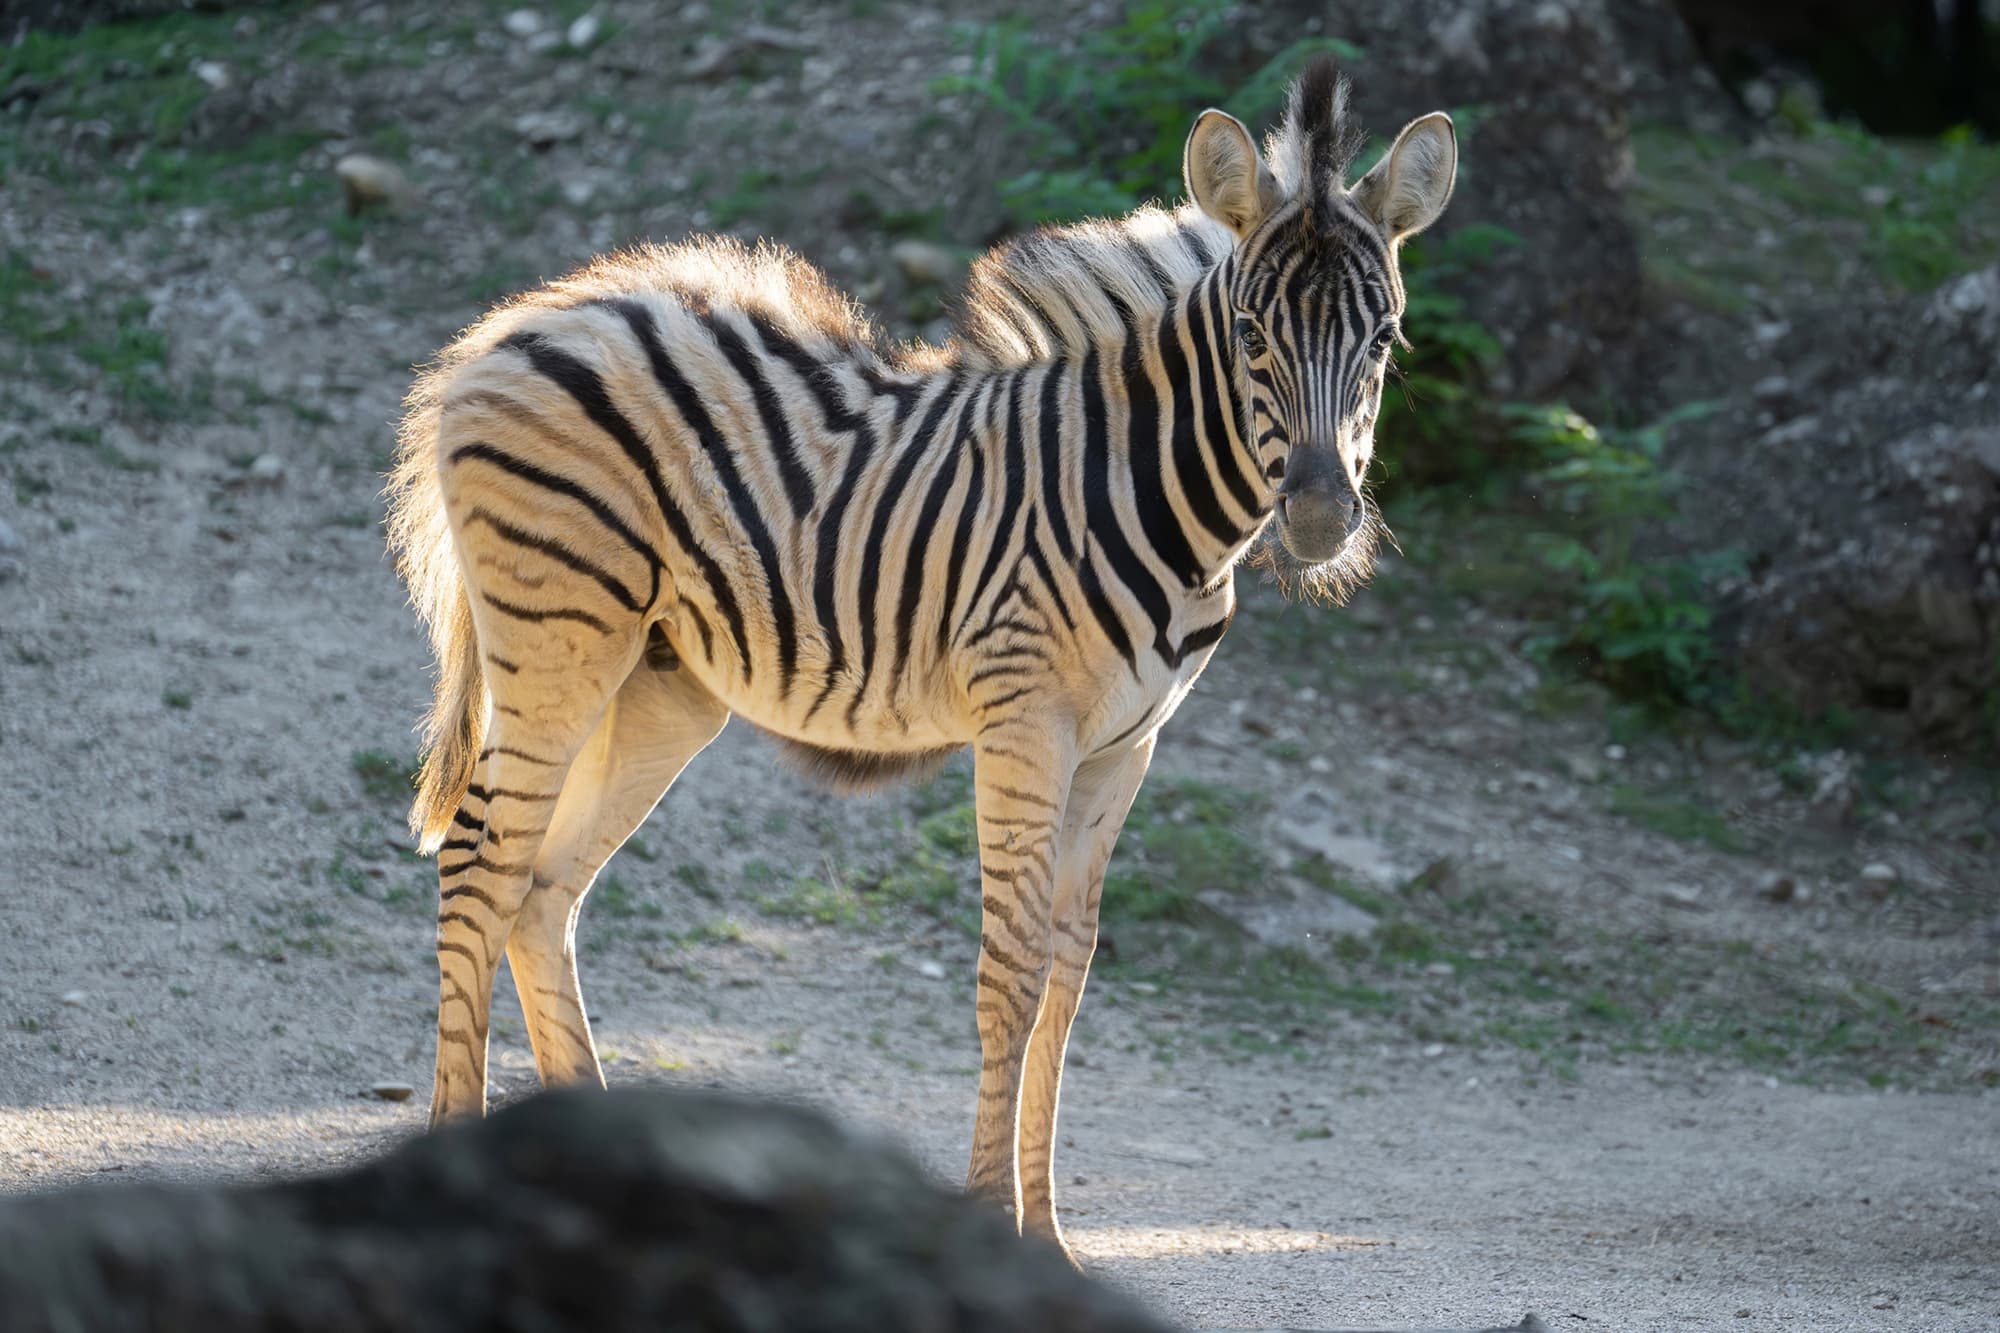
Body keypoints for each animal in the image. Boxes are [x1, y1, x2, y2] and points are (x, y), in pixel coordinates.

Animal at [385, 57, 1454, 1259]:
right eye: (1251, 334)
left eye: (1383, 340)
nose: (1318, 519)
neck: (1142, 488)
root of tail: (519, 322)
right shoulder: (1024, 722)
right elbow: (1012, 969)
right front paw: (997, 1220)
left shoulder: (1124, 749)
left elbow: (1069, 970)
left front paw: (1051, 1236)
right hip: (557, 640)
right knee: (480, 867)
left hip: (658, 686)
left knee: (543, 892)